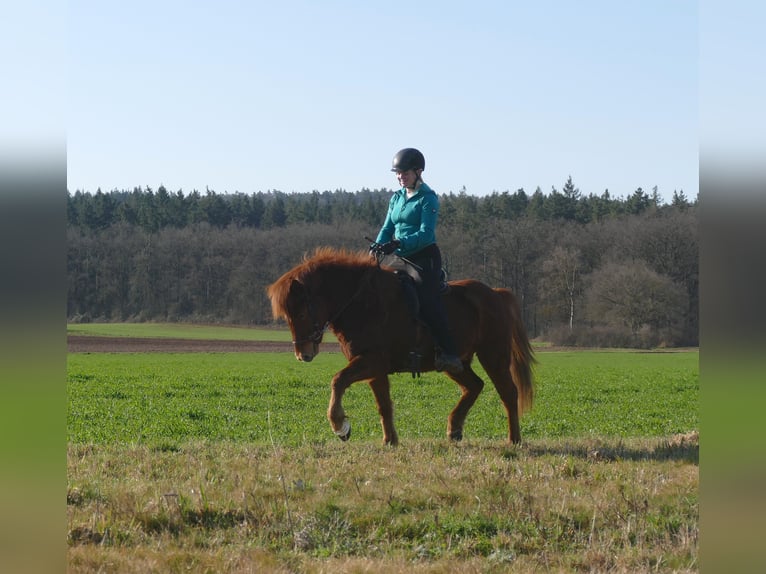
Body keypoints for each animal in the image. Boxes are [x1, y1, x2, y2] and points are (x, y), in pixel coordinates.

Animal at [267, 247, 535, 446]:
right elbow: (383, 405)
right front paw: (390, 440)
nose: (303, 354)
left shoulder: (371, 361)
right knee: (474, 386)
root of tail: (495, 293)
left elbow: (338, 381)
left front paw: (340, 426)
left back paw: (514, 439)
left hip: (493, 356)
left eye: (301, 313)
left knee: (508, 392)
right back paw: (455, 428)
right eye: (287, 316)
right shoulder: (374, 368)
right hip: (456, 363)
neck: (361, 302)